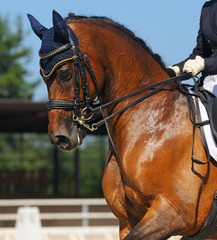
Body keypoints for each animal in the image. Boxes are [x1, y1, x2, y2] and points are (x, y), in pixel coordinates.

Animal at [27, 10, 217, 239]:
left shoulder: (172, 213)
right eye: (42, 75)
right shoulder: (128, 221)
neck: (153, 122)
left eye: (64, 73)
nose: (60, 137)